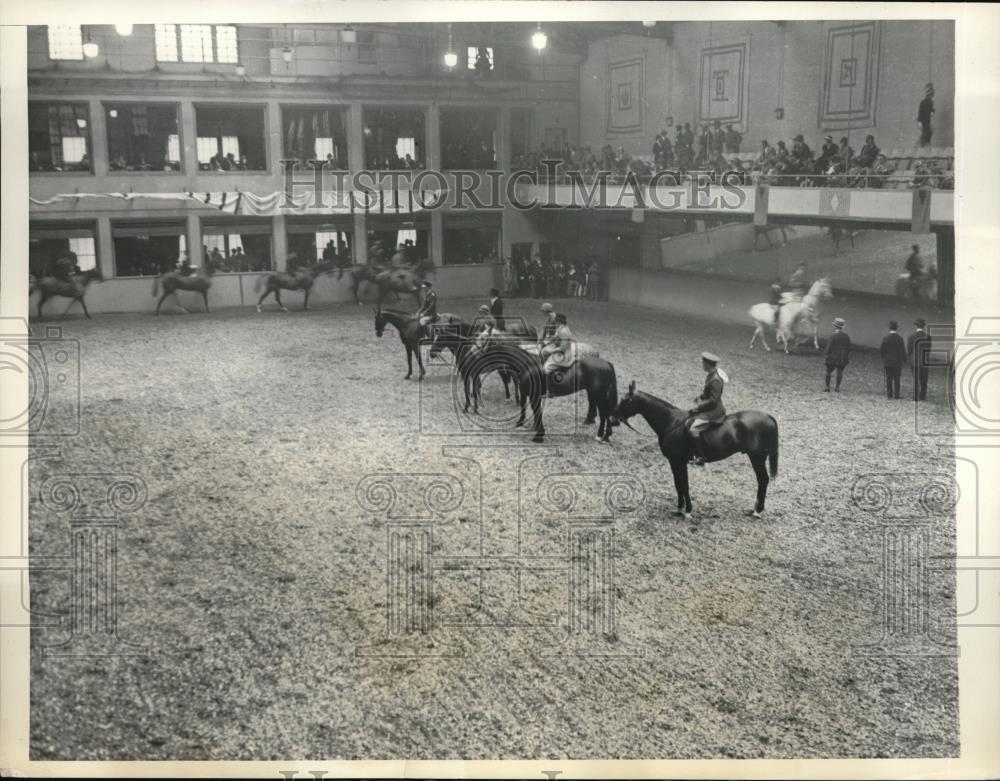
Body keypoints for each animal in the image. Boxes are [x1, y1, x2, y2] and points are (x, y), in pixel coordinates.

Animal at [608, 382, 780, 520]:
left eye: (625, 400)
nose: (611, 418)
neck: (672, 423)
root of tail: (768, 416)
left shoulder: (679, 461)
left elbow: (684, 485)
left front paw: (688, 511)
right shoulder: (674, 462)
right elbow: (678, 484)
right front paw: (679, 509)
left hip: (756, 457)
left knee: (763, 480)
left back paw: (757, 511)